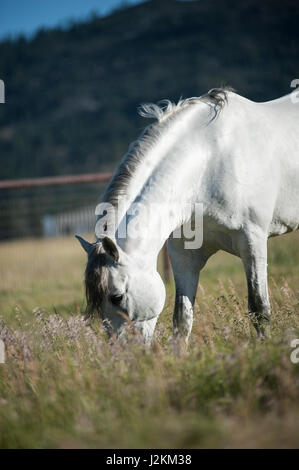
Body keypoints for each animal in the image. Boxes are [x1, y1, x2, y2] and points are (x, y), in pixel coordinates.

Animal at [77, 88, 299, 344]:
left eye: (116, 297)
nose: (124, 350)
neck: (208, 164)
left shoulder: (253, 242)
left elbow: (259, 310)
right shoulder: (183, 254)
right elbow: (182, 319)